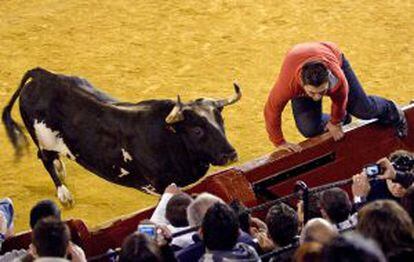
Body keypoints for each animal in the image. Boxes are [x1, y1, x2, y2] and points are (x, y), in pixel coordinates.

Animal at [1, 68, 241, 207]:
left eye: (221, 121)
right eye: (197, 130)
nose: (230, 154)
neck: (170, 137)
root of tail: (42, 76)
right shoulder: (162, 184)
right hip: (44, 140)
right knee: (45, 159)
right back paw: (64, 194)